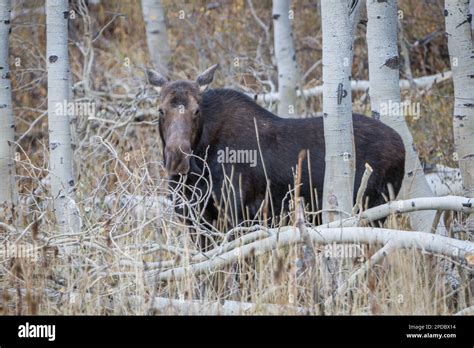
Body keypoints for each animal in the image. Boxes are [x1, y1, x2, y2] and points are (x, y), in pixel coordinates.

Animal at [147, 64, 404, 247]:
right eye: (160, 110)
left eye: (196, 111)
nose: (176, 157)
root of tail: (403, 146)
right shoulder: (195, 219)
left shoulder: (234, 214)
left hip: (372, 208)